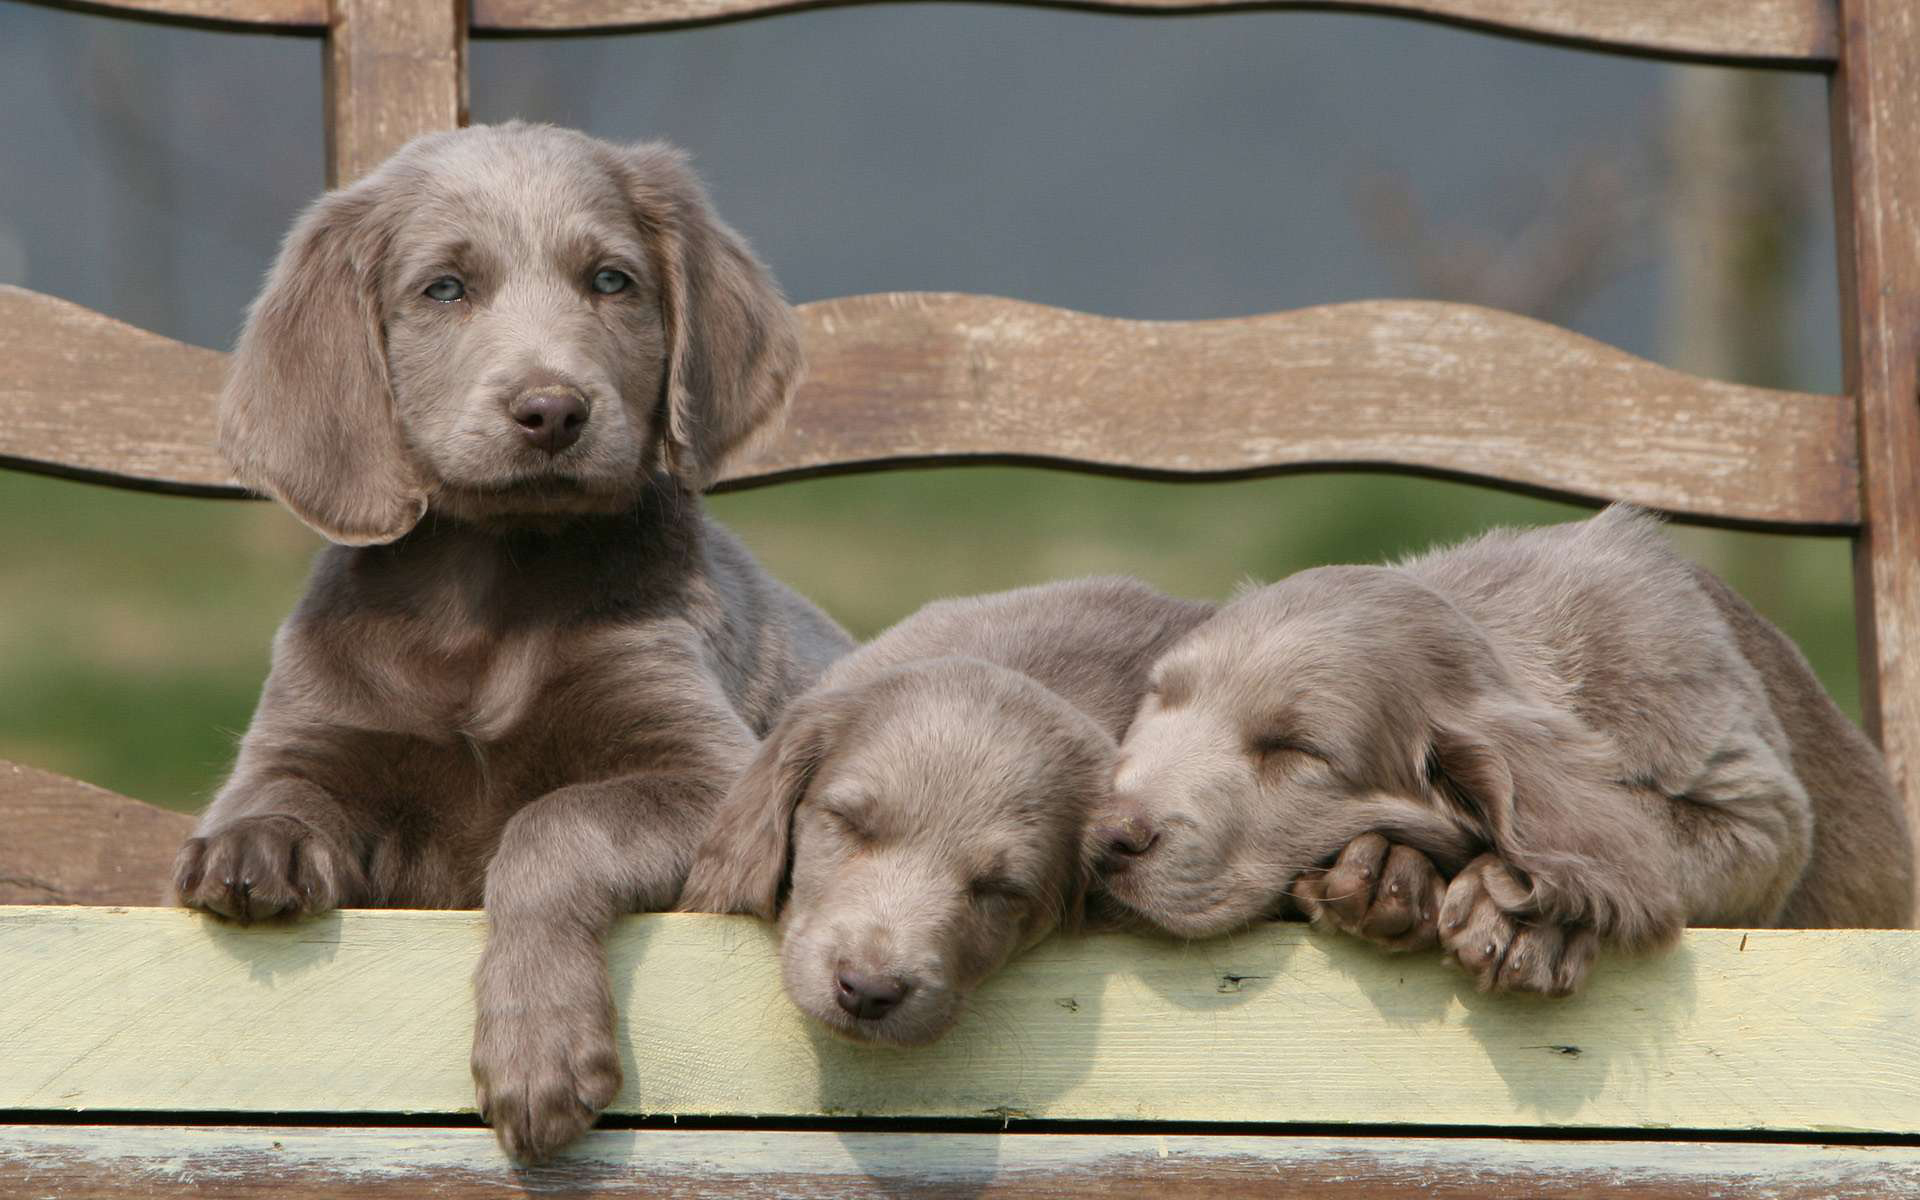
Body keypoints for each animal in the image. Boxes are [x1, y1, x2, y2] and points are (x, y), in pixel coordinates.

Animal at [170, 123, 848, 1159]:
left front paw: (538, 1057)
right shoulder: (312, 724)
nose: (553, 411)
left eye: (611, 281)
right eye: (444, 289)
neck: (490, 595)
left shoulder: (721, 779)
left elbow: (549, 824)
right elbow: (276, 788)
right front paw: (257, 842)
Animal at [1090, 506, 1912, 990]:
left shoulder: (1754, 802)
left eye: (1295, 751)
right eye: (1158, 706)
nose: (1105, 837)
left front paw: (1523, 920)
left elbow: (1638, 835)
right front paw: (1387, 872)